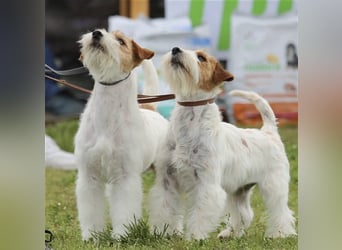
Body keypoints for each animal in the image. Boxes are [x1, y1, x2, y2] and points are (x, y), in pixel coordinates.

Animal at [76, 28, 170, 240]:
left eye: (121, 41)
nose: (96, 33)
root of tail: (151, 109)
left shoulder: (125, 177)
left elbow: (124, 209)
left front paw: (121, 235)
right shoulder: (89, 176)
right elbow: (91, 209)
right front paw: (91, 236)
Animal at [148, 47, 296, 240]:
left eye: (201, 58)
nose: (175, 49)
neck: (190, 119)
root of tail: (269, 131)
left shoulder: (206, 184)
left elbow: (200, 213)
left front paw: (195, 237)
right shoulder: (167, 180)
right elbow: (164, 208)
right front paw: (163, 232)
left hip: (274, 185)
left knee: (281, 211)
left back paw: (280, 233)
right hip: (239, 189)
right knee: (244, 213)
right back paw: (230, 233)